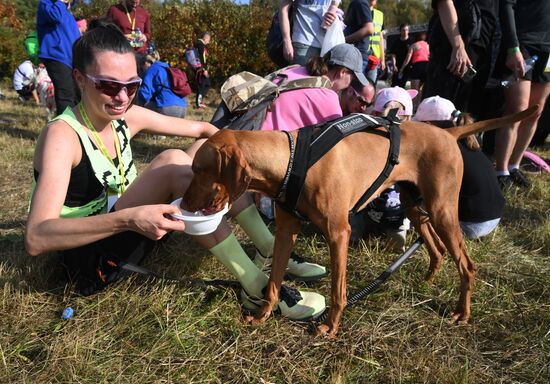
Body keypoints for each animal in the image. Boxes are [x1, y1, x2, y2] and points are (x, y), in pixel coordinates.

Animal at [183, 106, 536, 338]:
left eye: (199, 170)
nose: (183, 205)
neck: (291, 161)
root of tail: (448, 132)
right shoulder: (285, 232)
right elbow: (272, 282)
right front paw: (261, 315)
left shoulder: (339, 233)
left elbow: (338, 290)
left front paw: (329, 326)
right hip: (415, 205)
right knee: (435, 246)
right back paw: (428, 280)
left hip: (442, 210)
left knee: (467, 265)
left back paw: (462, 312)